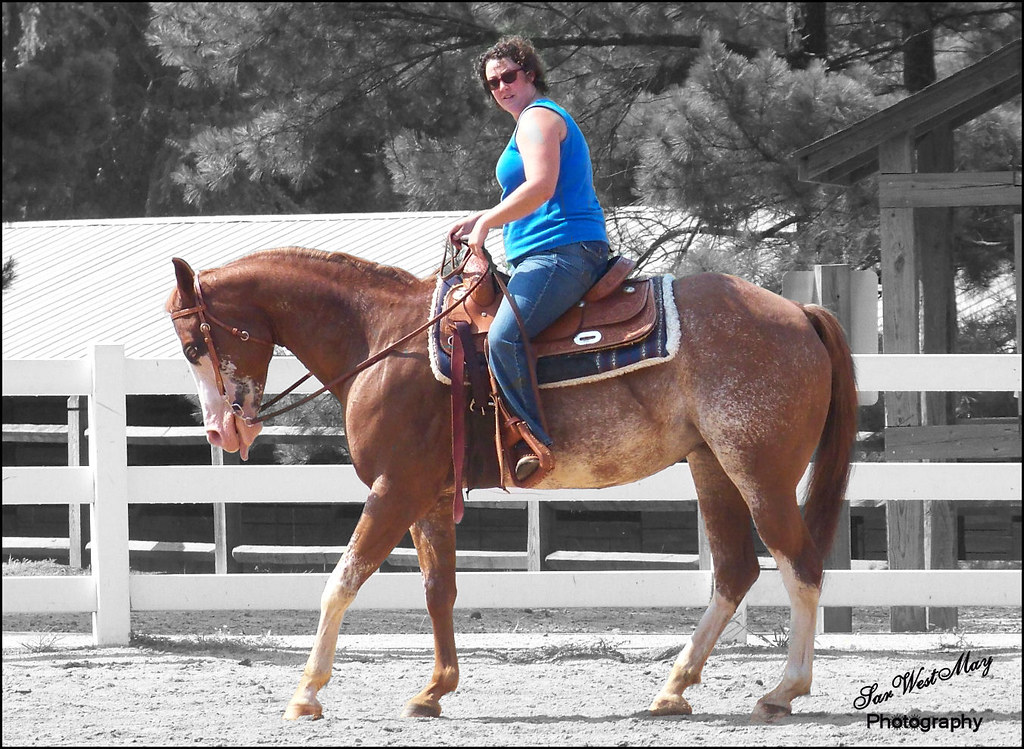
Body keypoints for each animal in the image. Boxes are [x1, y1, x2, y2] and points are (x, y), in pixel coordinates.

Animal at [165, 246, 857, 723]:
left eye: (196, 342)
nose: (220, 431)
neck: (383, 339)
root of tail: (799, 312)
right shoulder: (428, 497)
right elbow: (439, 590)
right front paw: (433, 691)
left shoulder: (394, 488)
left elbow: (340, 582)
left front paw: (306, 692)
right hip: (711, 466)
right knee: (736, 569)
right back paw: (673, 688)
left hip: (760, 473)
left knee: (800, 564)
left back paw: (783, 690)